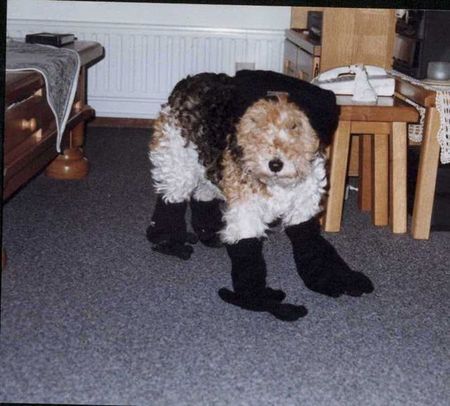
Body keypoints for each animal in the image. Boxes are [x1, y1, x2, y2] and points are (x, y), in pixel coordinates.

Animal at [147, 71, 372, 322]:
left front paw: (330, 276)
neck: (279, 183)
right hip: (178, 162)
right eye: (257, 123)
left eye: (295, 125)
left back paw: (209, 234)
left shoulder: (303, 208)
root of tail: (189, 80)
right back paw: (168, 241)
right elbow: (248, 257)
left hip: (208, 167)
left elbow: (311, 243)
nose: (275, 164)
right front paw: (258, 299)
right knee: (170, 201)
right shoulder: (246, 212)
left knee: (201, 197)